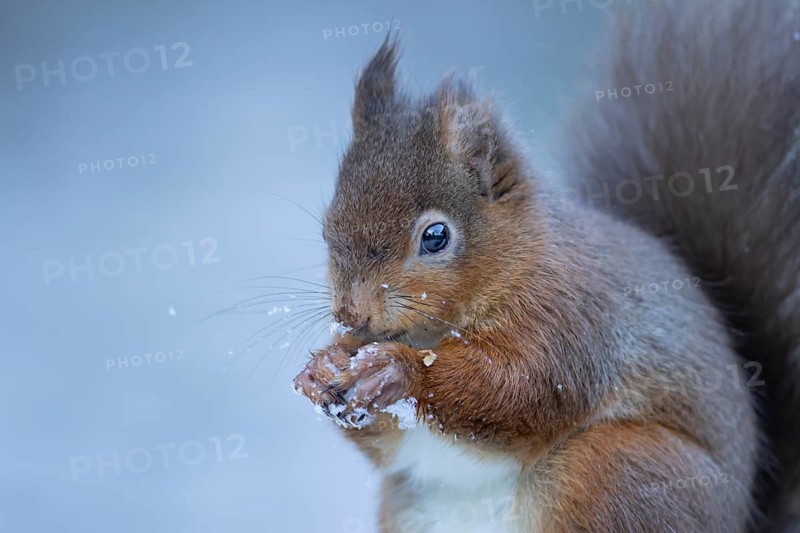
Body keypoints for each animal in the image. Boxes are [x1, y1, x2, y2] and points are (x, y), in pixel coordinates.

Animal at [292, 0, 800, 530]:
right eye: (327, 226)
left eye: (435, 237)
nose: (350, 313)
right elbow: (392, 447)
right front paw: (320, 369)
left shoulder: (569, 318)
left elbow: (522, 389)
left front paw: (397, 369)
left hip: (613, 470)